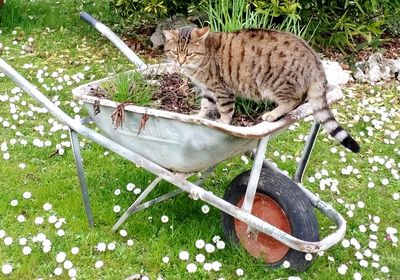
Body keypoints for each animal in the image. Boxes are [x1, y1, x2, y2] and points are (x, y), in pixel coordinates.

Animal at [162, 26, 360, 152]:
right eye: (175, 52)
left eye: (189, 54)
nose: (180, 62)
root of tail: (315, 60)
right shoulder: (208, 91)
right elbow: (205, 106)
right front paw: (198, 118)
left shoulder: (221, 89)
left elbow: (225, 110)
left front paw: (222, 124)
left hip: (276, 83)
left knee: (293, 100)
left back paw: (272, 114)